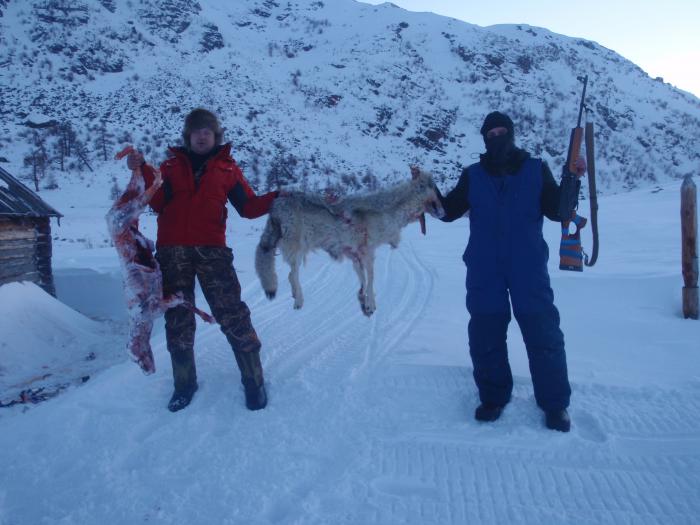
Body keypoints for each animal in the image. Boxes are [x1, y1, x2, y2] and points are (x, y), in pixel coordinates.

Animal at [256, 167, 442, 316]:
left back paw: (296, 296)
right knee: (292, 275)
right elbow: (371, 278)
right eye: (436, 189)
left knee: (289, 275)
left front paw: (363, 300)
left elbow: (363, 280)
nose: (444, 211)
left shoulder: (355, 255)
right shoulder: (368, 252)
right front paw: (371, 305)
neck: (388, 211)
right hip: (298, 249)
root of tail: (276, 204)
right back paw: (298, 300)